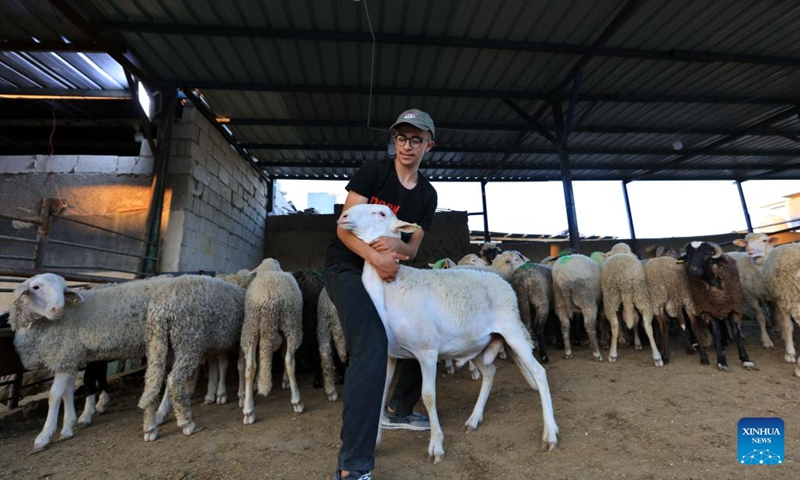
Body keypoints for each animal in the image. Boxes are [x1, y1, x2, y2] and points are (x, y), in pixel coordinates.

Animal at [139, 276, 247, 440]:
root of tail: (162, 309)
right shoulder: (235, 340)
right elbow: (239, 365)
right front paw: (240, 395)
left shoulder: (211, 345)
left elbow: (217, 366)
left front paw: (213, 394)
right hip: (188, 341)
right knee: (174, 379)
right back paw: (186, 422)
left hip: (157, 341)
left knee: (153, 380)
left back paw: (150, 427)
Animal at [239, 258, 304, 424]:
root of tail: (269, 298)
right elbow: (284, 355)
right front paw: (285, 381)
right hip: (291, 323)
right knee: (289, 361)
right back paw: (297, 401)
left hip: (251, 327)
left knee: (250, 366)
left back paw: (248, 411)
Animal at [336, 204, 556, 464]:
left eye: (381, 213)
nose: (343, 216)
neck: (390, 289)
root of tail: (501, 281)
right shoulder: (390, 353)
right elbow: (379, 391)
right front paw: (376, 440)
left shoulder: (427, 352)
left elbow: (428, 396)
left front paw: (436, 446)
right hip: (477, 343)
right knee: (490, 373)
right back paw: (473, 419)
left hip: (512, 330)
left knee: (539, 373)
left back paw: (550, 434)